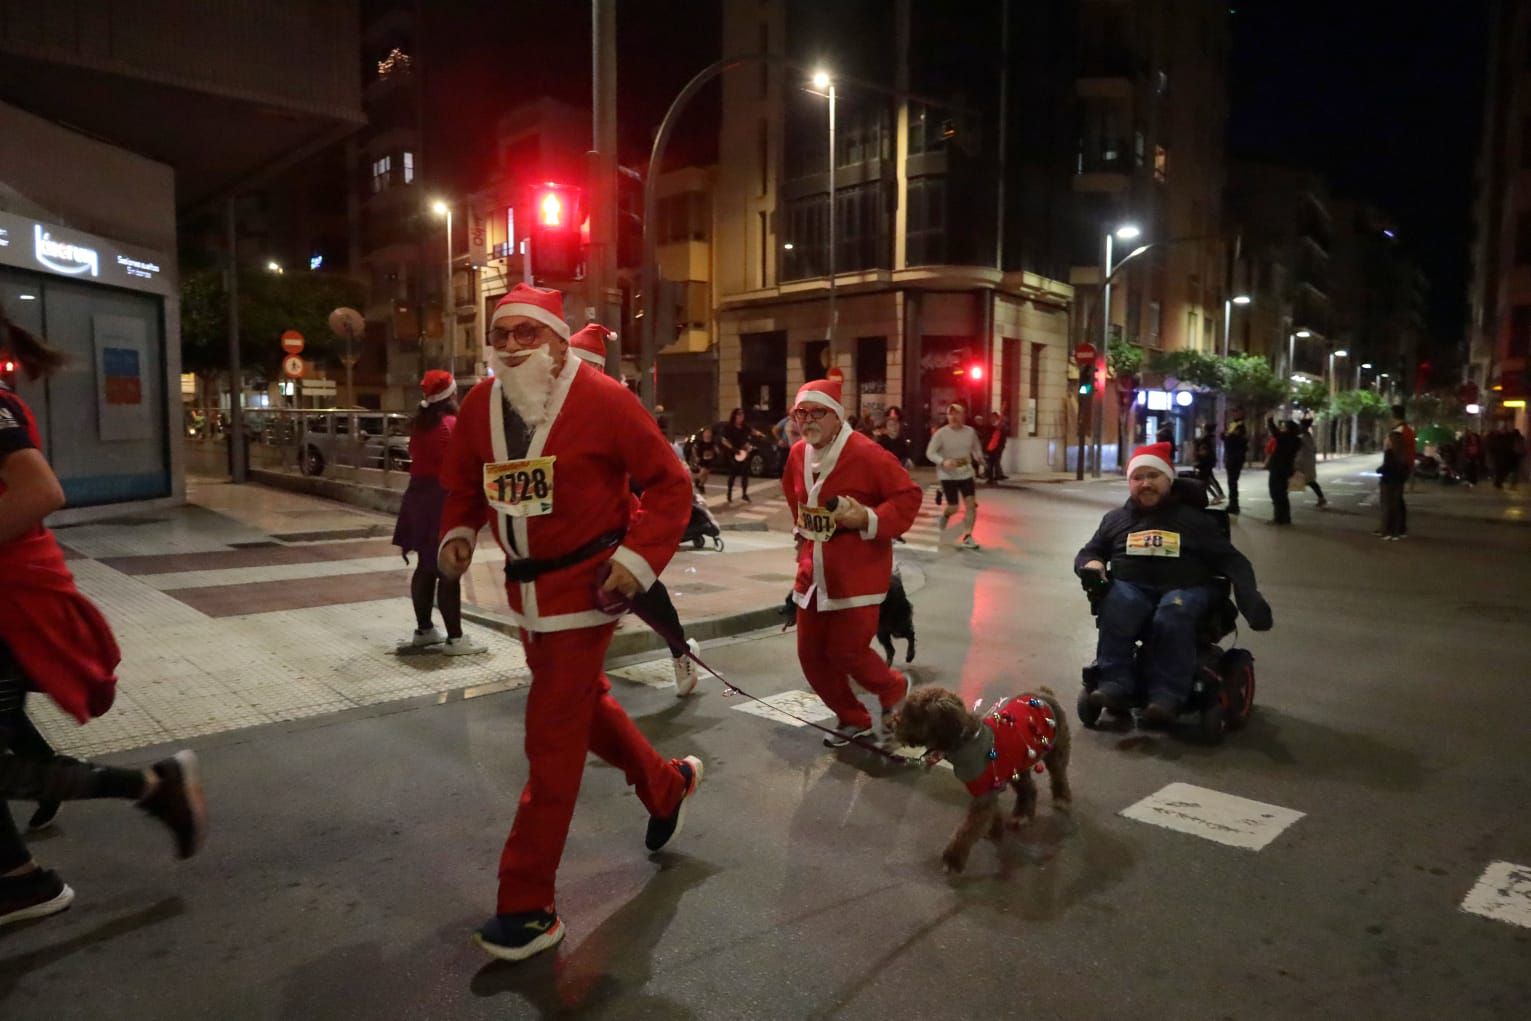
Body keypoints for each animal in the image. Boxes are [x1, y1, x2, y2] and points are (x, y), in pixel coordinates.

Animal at [783, 566, 912, 670]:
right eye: (786, 601)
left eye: (791, 602)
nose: (780, 611)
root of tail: (897, 579)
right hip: (883, 630)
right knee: (891, 649)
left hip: (895, 625)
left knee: (910, 634)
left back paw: (910, 655)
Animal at [894, 685, 1071, 869]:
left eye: (913, 715)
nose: (893, 724)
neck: (966, 741)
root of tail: (1043, 693)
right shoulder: (987, 789)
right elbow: (993, 813)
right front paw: (994, 831)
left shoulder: (983, 797)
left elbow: (968, 829)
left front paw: (953, 858)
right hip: (1018, 765)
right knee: (1028, 788)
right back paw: (1022, 815)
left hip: (1056, 750)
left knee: (1058, 775)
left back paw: (1061, 798)